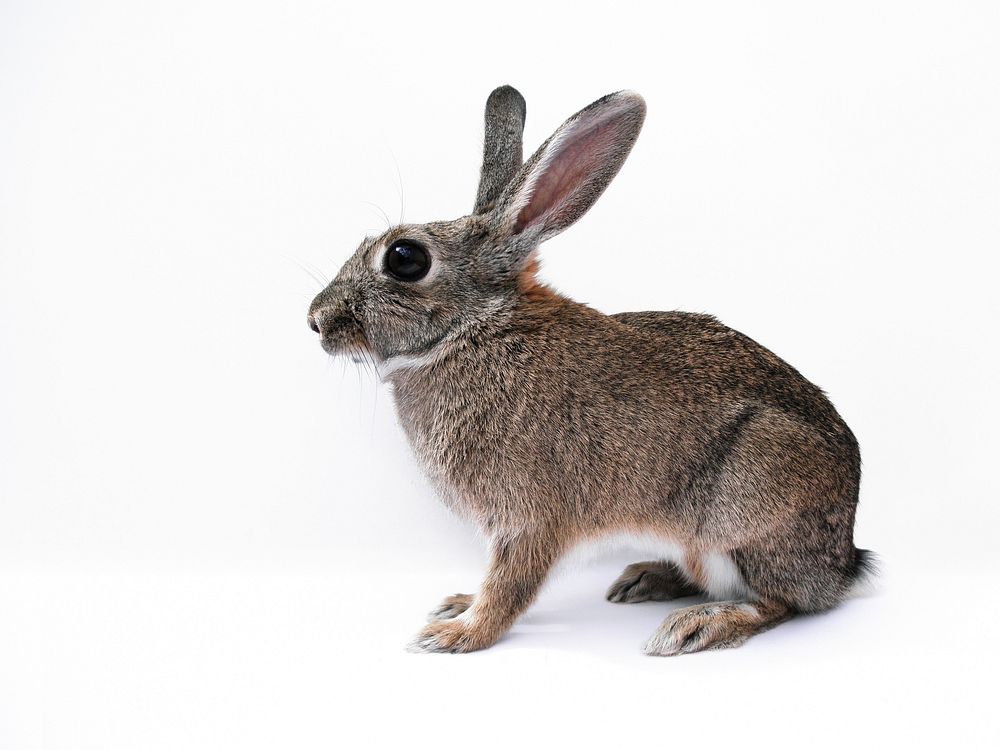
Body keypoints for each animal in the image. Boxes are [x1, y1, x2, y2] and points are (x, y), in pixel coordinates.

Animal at [306, 85, 876, 656]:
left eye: (405, 258)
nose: (316, 320)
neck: (473, 330)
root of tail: (844, 564)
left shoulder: (528, 518)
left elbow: (509, 586)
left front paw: (455, 633)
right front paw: (457, 605)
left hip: (740, 521)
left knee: (780, 602)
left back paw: (696, 625)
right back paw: (645, 579)